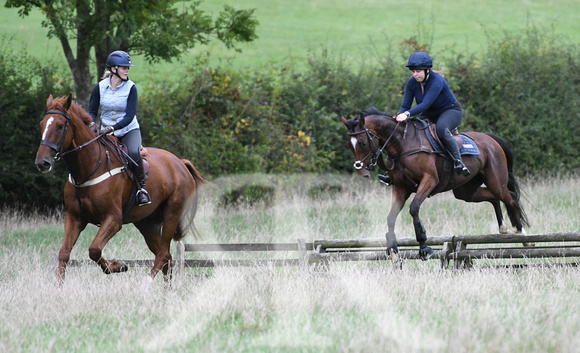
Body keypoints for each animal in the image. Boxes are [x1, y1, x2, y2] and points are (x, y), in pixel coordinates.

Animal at [35, 93, 204, 284]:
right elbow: (64, 253)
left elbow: (94, 249)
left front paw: (118, 265)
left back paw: (145, 284)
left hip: (172, 214)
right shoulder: (74, 218)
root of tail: (180, 163)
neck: (88, 169)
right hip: (147, 222)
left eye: (60, 126)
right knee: (166, 256)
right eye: (42, 124)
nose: (42, 163)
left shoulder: (113, 219)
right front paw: (59, 286)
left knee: (162, 254)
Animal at [344, 113, 532, 262]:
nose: (362, 172)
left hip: (495, 181)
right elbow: (391, 218)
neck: (402, 143)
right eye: (349, 145)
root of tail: (491, 139)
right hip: (466, 191)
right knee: (494, 198)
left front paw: (424, 247)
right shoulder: (400, 188)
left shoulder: (429, 181)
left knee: (510, 198)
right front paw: (393, 249)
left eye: (362, 143)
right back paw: (504, 228)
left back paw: (523, 236)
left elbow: (414, 209)